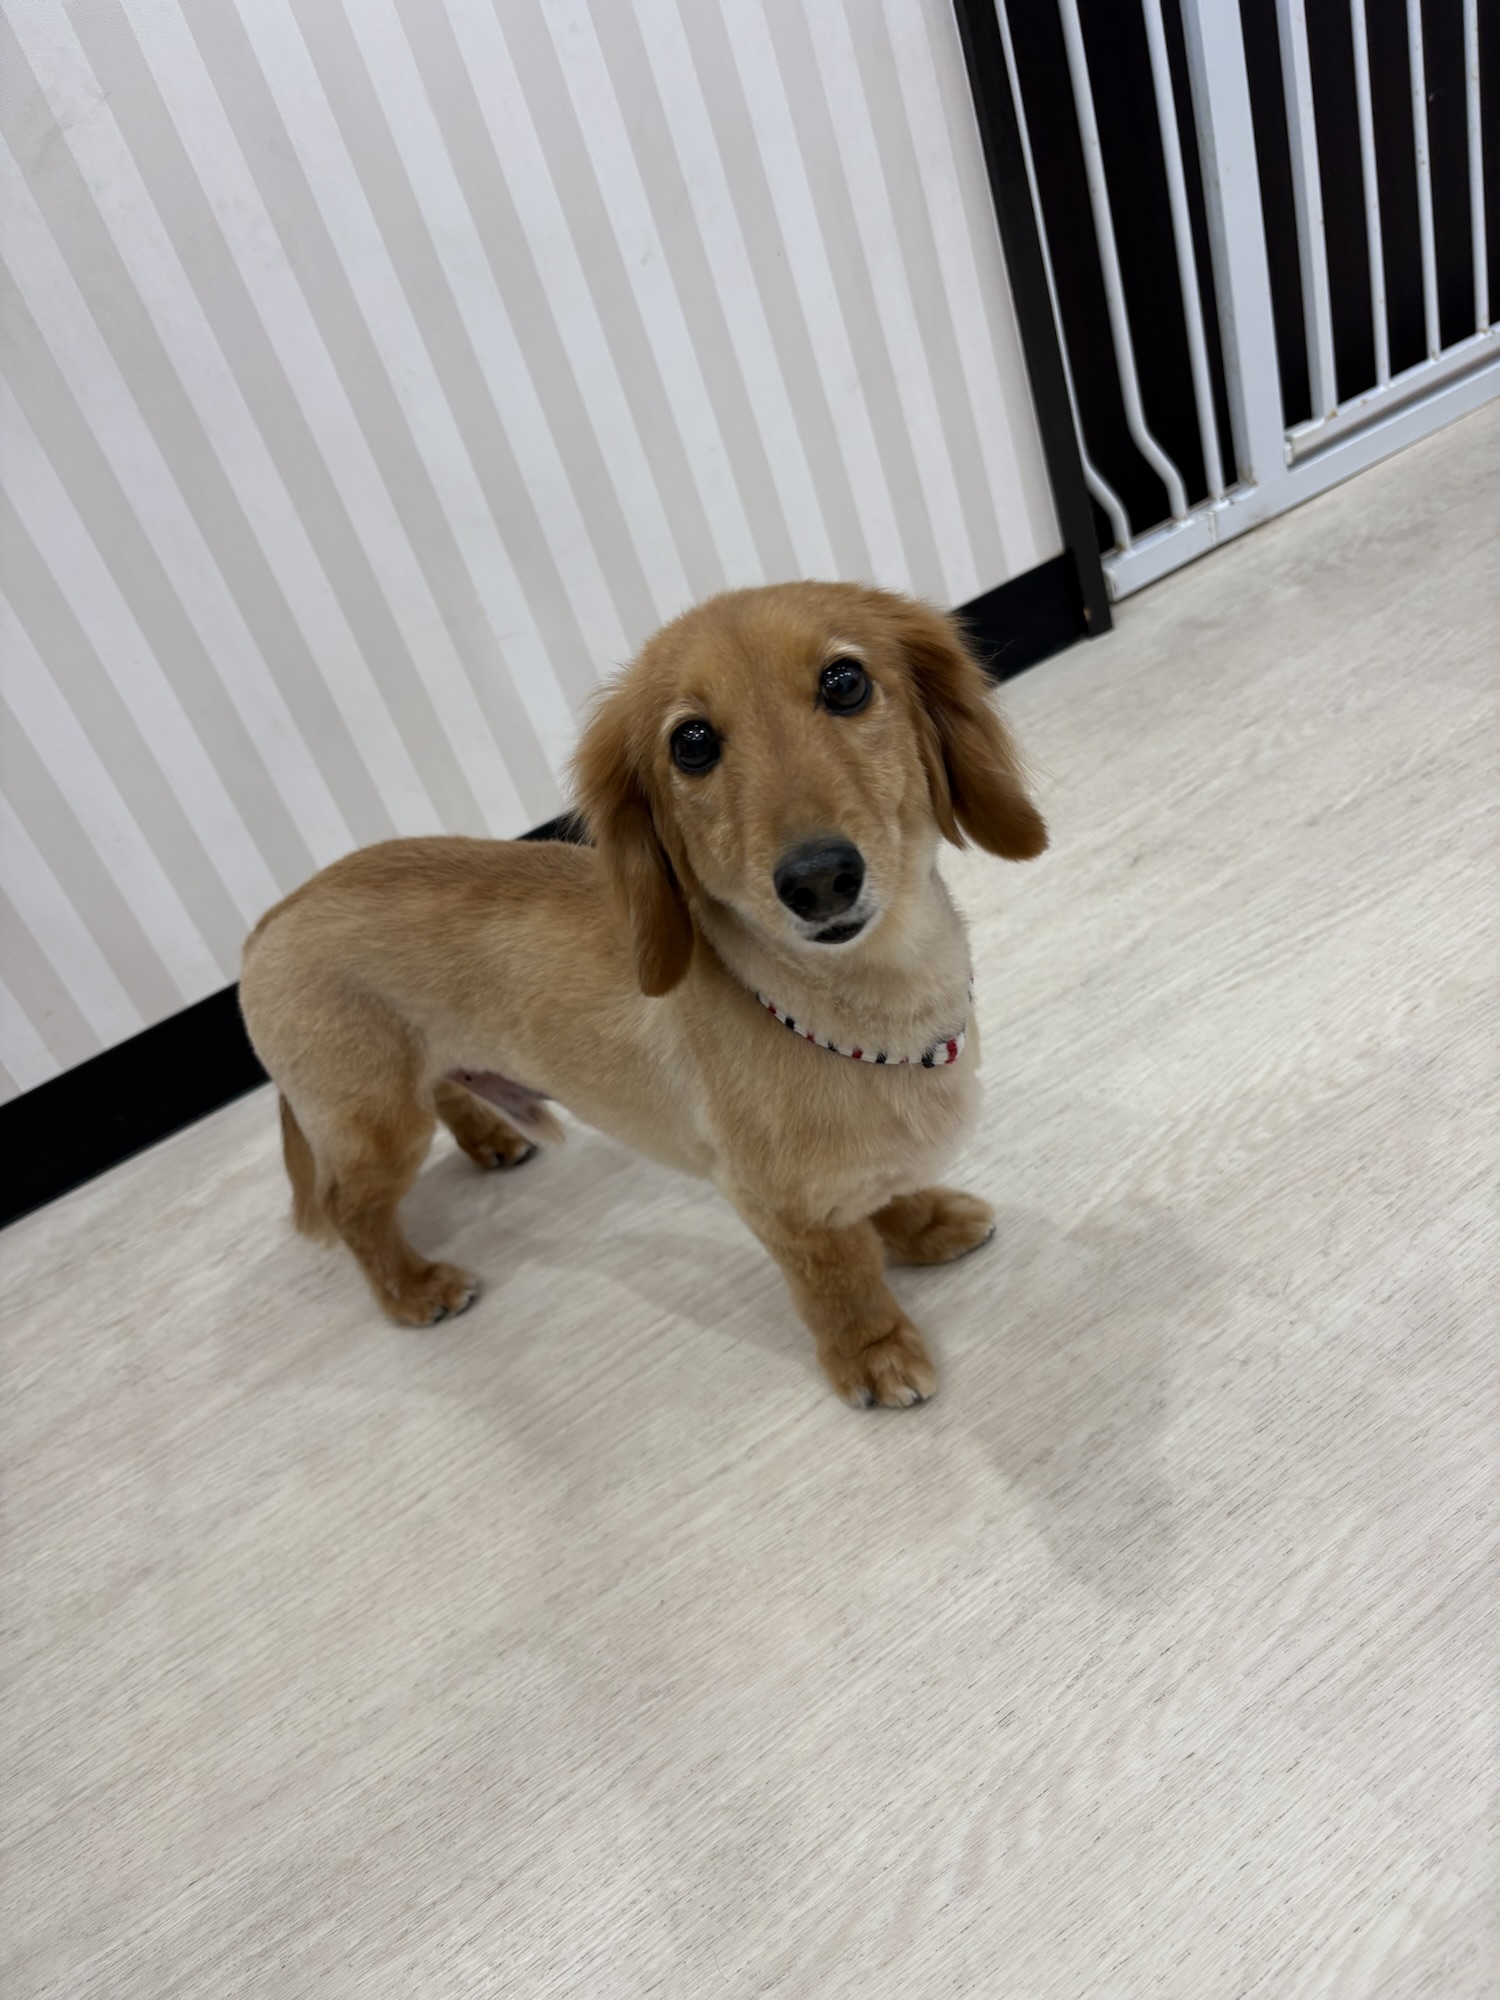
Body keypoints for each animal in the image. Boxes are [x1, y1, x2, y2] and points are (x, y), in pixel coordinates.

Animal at [239, 582, 1046, 1408]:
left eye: (845, 682)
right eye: (691, 743)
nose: (819, 879)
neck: (871, 1006)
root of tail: (270, 922)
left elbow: (885, 1194)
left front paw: (923, 1223)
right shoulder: (781, 1208)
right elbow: (840, 1279)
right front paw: (873, 1352)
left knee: (447, 1090)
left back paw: (491, 1138)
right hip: (377, 1125)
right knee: (351, 1209)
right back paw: (412, 1288)